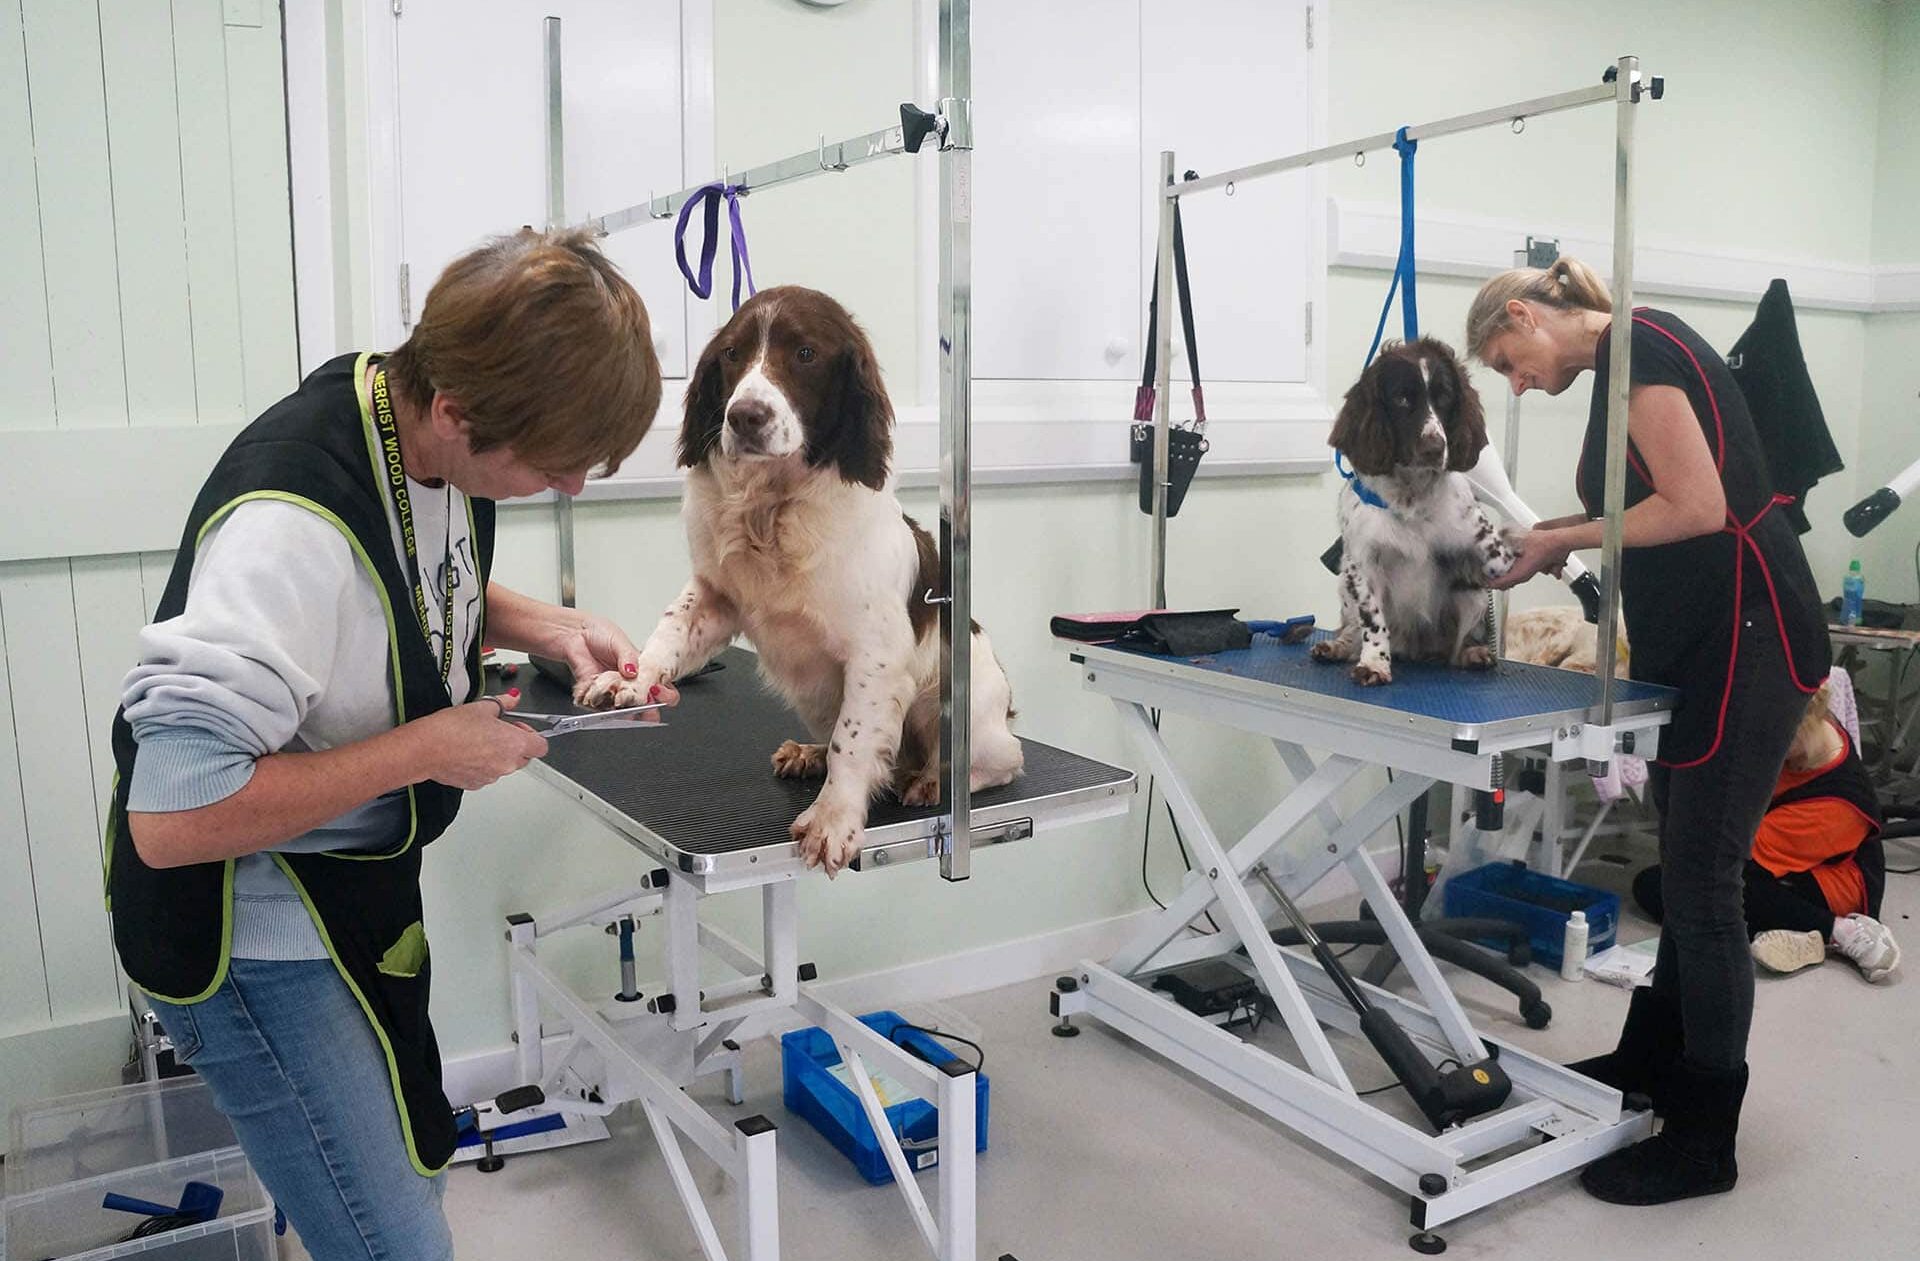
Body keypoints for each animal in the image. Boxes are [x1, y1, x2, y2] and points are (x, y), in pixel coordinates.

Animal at [576, 289, 1021, 871]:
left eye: (806, 354)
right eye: (732, 354)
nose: (745, 416)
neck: (772, 508)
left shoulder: (876, 654)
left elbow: (853, 742)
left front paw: (832, 819)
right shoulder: (715, 595)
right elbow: (669, 631)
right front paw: (628, 677)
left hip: (955, 710)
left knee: (998, 763)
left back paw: (932, 780)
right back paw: (811, 753)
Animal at [1320, 339, 1512, 683]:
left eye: (1445, 396)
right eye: (1402, 398)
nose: (1435, 448)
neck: (1410, 494)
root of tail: (1415, 648)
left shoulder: (1481, 550)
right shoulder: (1362, 563)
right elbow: (1372, 621)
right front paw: (1374, 663)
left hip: (1472, 596)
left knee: (1457, 646)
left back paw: (1472, 653)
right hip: (1344, 584)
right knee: (1351, 629)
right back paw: (1337, 647)